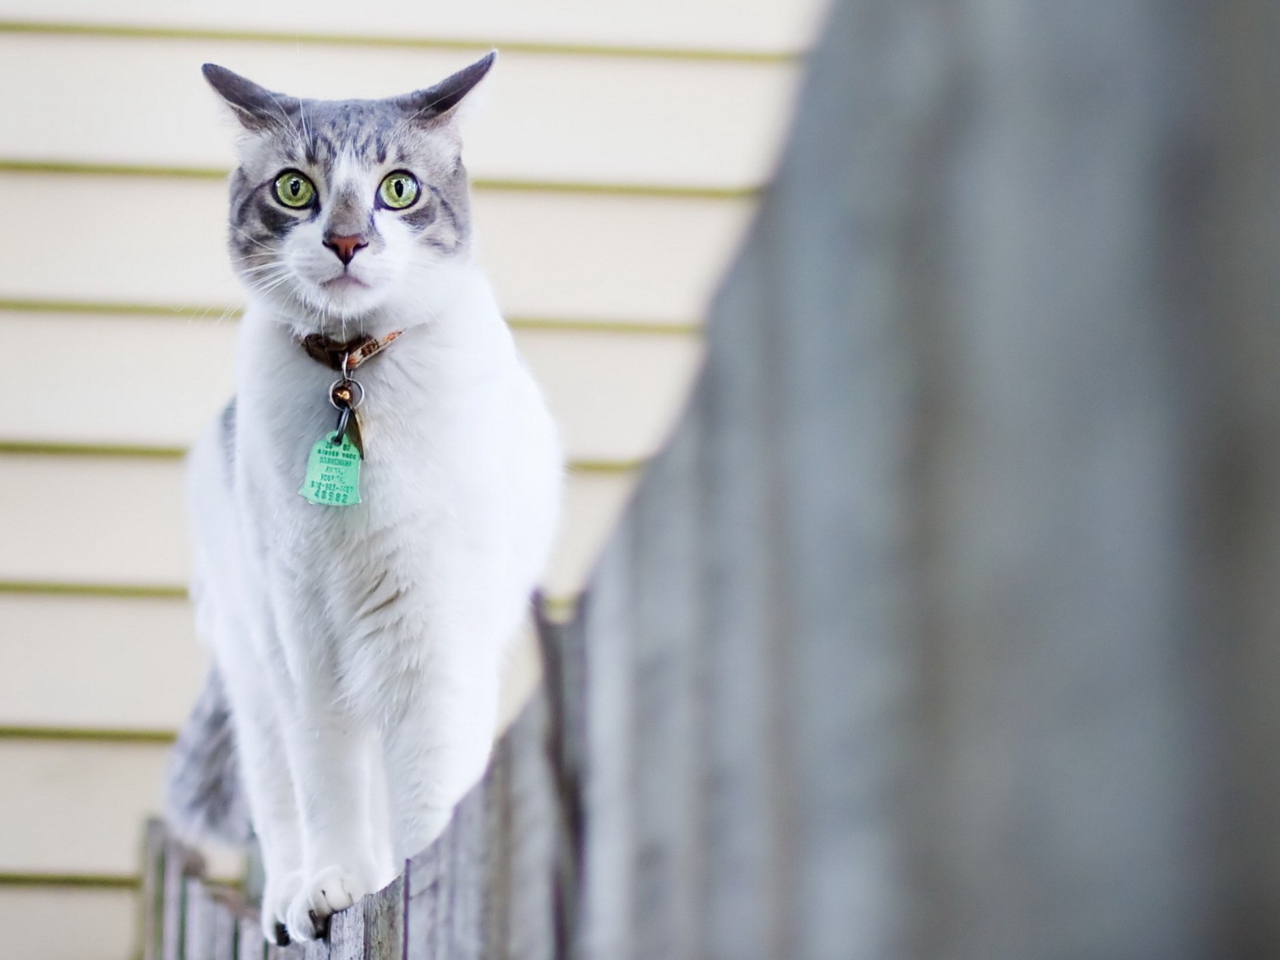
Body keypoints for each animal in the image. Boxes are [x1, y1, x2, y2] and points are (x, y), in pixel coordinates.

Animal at [163, 54, 560, 947]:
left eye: (398, 190)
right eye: (295, 190)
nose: (347, 241)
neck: (352, 375)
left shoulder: (432, 635)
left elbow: (429, 789)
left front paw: (417, 887)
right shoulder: (305, 639)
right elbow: (328, 785)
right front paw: (333, 888)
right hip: (254, 663)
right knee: (281, 798)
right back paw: (288, 899)